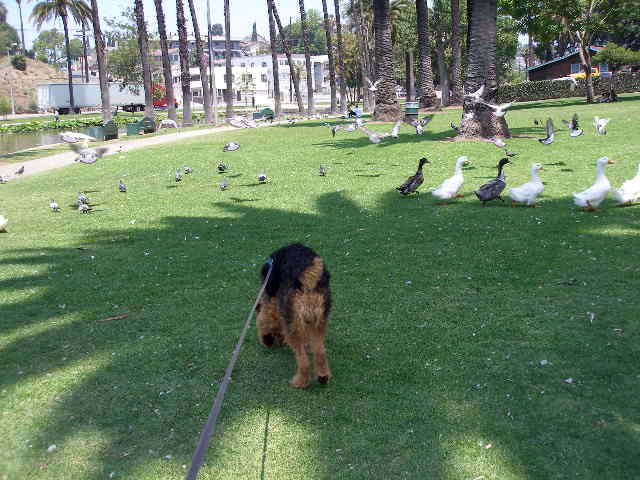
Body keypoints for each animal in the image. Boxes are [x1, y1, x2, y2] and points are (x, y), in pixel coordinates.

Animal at [256, 246, 332, 388]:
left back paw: (300, 381)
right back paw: (323, 376)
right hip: (319, 320)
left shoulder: (270, 299)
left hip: (293, 324)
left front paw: (266, 338)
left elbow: (263, 318)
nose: (277, 341)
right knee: (320, 352)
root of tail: (308, 280)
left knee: (303, 360)